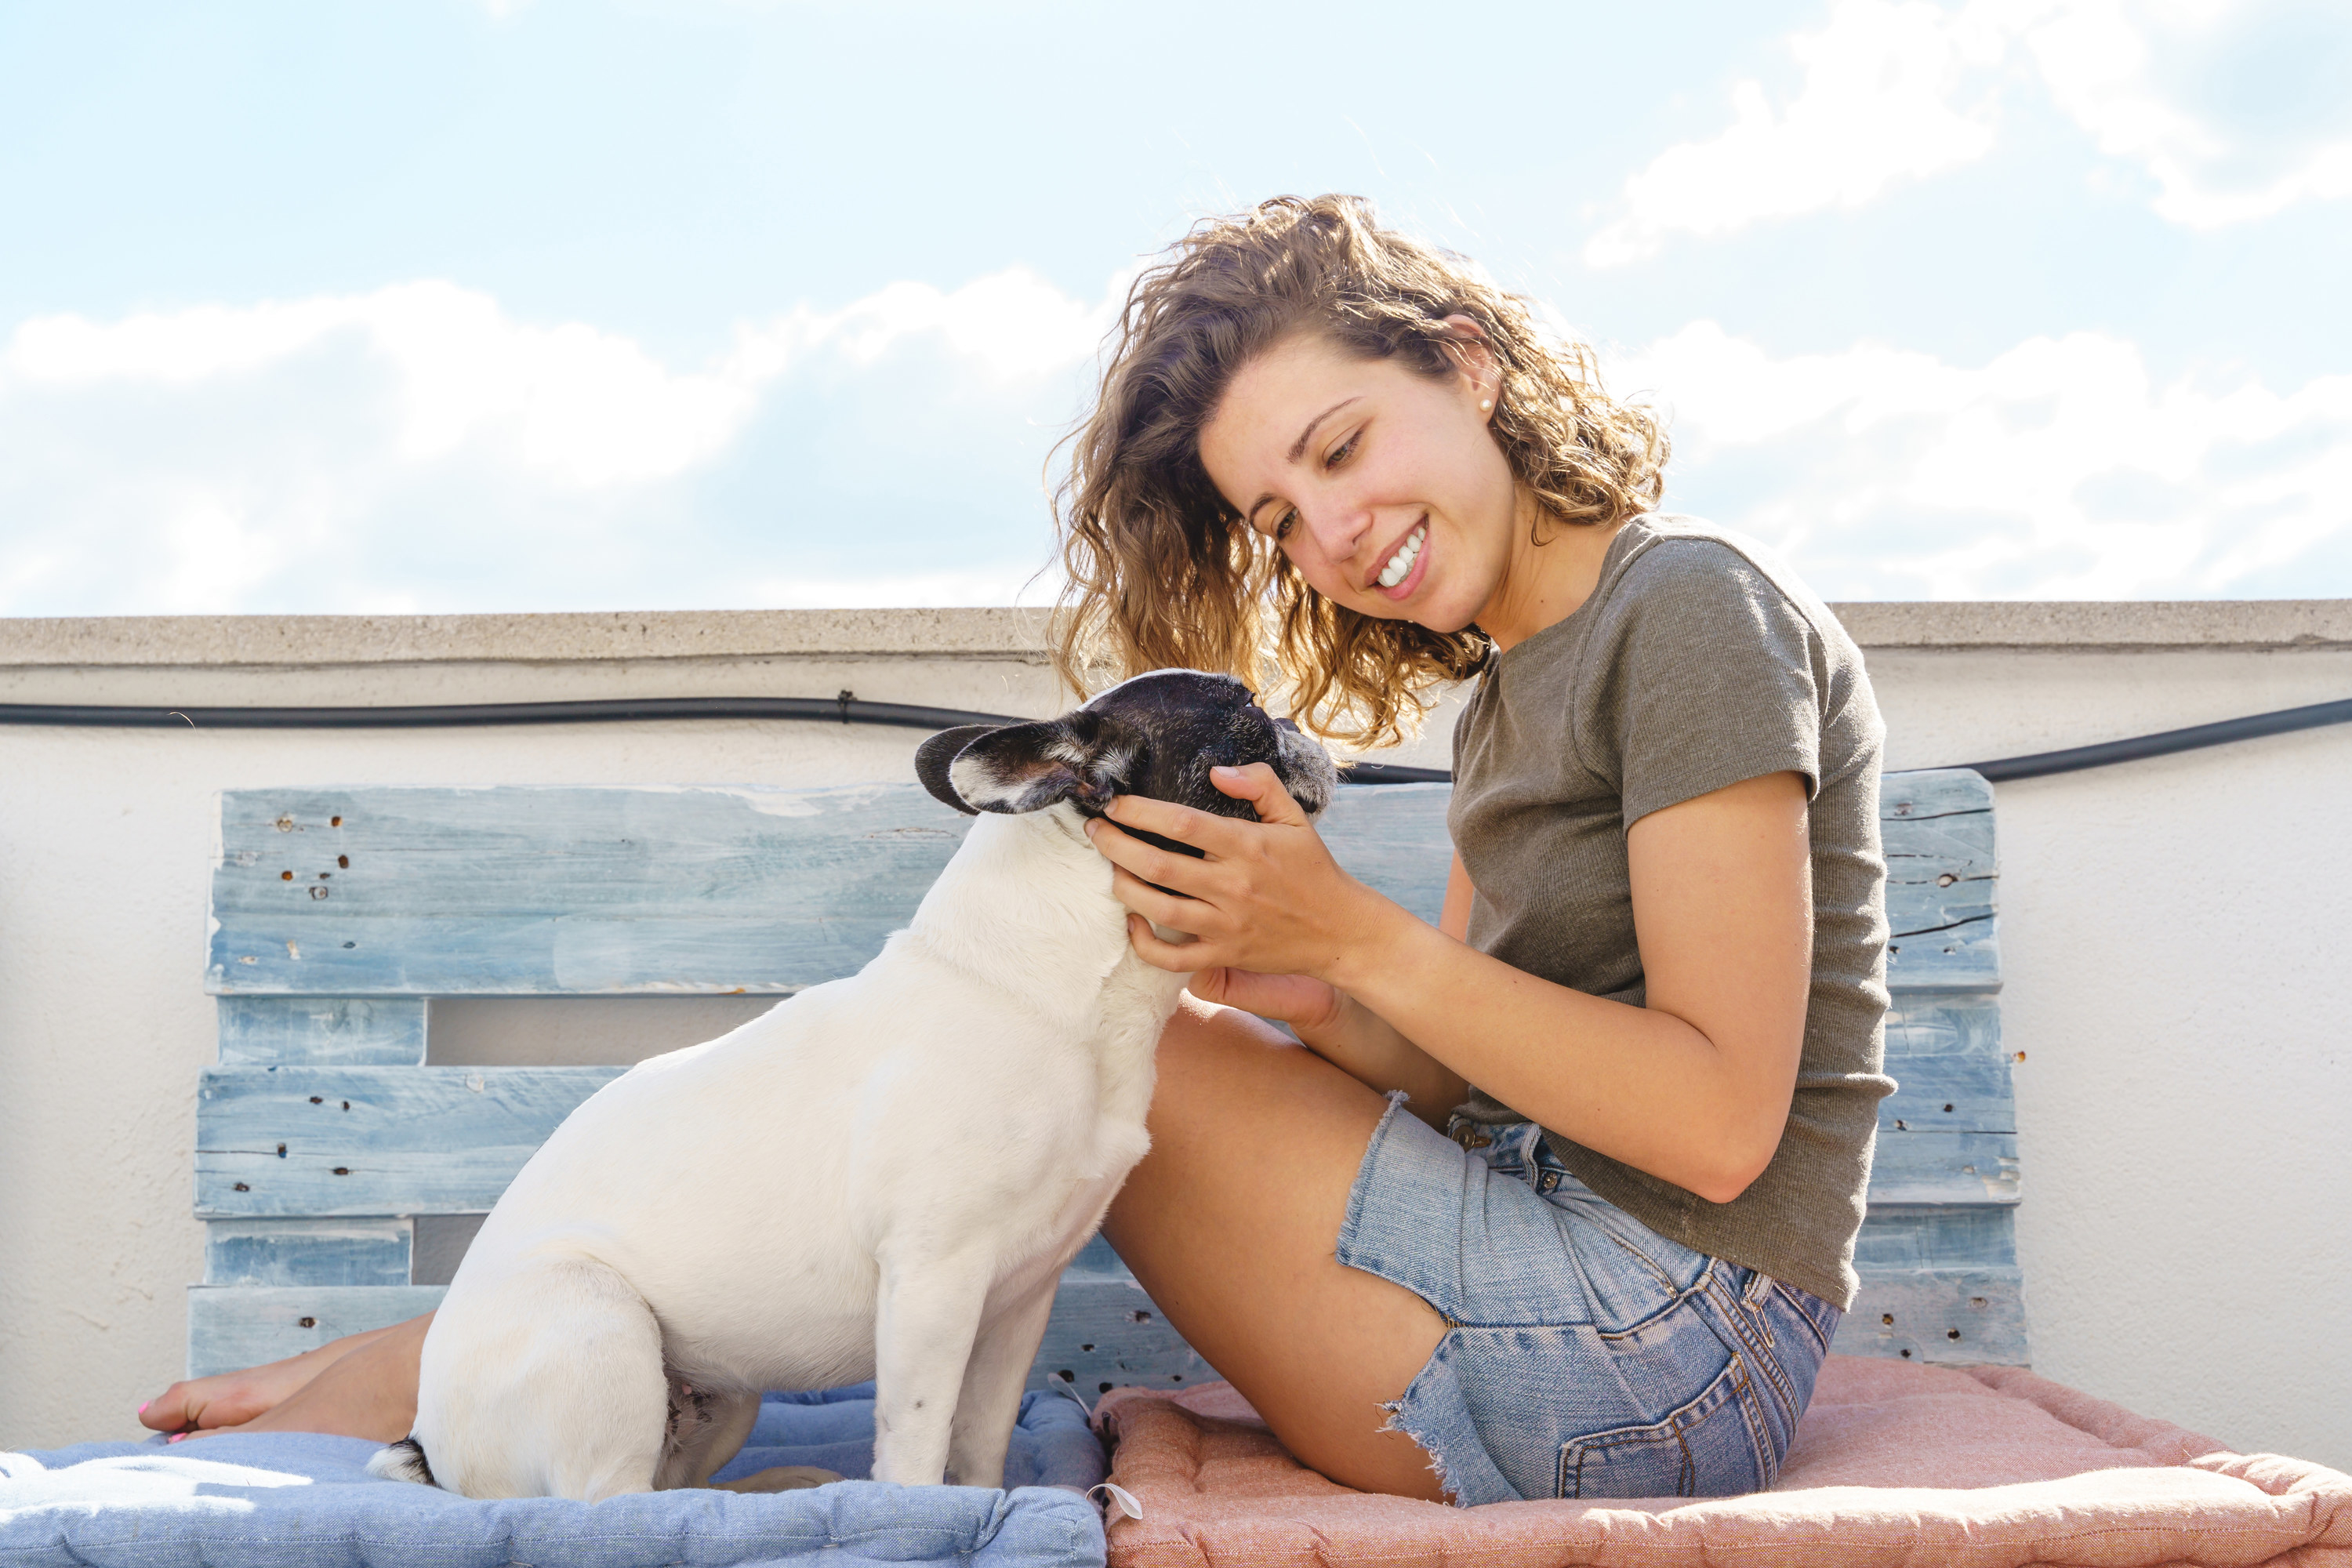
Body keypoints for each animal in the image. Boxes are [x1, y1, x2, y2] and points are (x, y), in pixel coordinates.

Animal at [365, 677, 1327, 1504]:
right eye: (1245, 712)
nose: (1301, 726)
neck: (1059, 990)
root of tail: (428, 1442)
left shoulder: (1020, 1299)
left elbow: (980, 1438)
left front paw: (982, 1500)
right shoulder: (934, 1282)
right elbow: (918, 1440)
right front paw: (921, 1518)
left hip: (725, 1395)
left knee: (675, 1489)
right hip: (598, 1325)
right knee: (610, 1508)